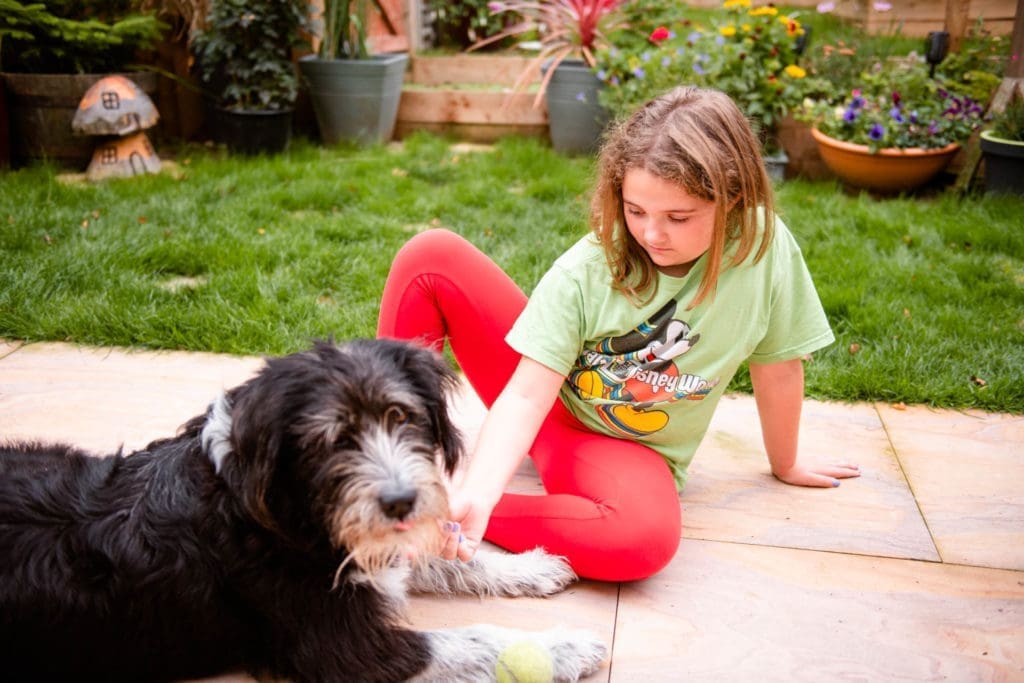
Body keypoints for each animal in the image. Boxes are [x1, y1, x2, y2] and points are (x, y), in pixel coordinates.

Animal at [0, 342, 606, 683]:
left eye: (400, 415)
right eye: (333, 441)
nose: (402, 502)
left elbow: (448, 560)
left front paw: (528, 567)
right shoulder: (344, 647)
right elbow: (475, 641)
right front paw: (565, 646)